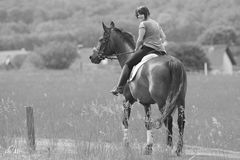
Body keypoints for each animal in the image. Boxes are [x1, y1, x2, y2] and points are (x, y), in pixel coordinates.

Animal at [89, 21, 187, 156]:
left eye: (101, 39)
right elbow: (147, 123)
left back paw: (169, 148)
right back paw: (178, 149)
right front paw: (148, 148)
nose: (92, 57)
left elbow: (125, 120)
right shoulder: (146, 103)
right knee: (180, 121)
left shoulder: (127, 100)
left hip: (163, 102)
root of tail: (172, 62)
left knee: (168, 120)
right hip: (180, 100)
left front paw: (126, 145)